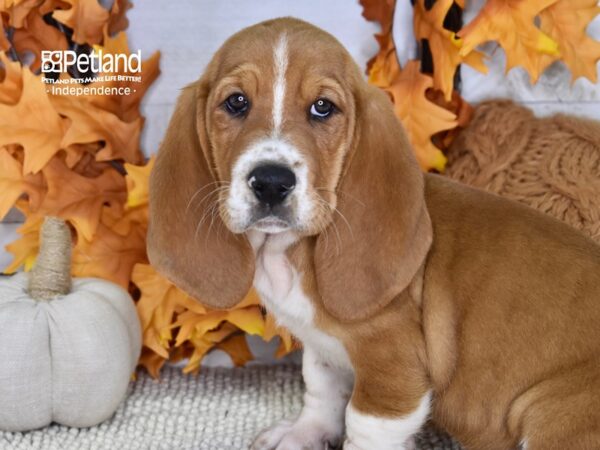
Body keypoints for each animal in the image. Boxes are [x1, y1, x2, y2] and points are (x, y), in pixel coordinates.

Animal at [146, 16, 600, 450]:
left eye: (323, 107)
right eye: (236, 102)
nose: (272, 182)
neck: (288, 252)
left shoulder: (391, 364)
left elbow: (363, 425)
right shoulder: (323, 347)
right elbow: (321, 390)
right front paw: (303, 435)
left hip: (552, 411)